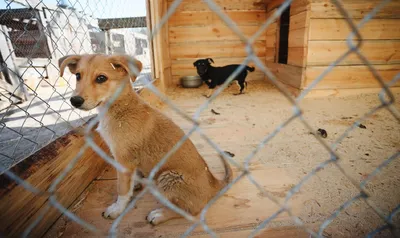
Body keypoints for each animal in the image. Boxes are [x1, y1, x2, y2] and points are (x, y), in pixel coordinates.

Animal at [59, 54, 234, 225]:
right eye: (78, 76)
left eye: (101, 78)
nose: (75, 101)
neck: (120, 108)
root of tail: (213, 184)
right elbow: (132, 179)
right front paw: (135, 183)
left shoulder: (123, 159)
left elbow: (122, 190)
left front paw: (117, 209)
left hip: (168, 177)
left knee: (189, 212)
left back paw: (159, 215)